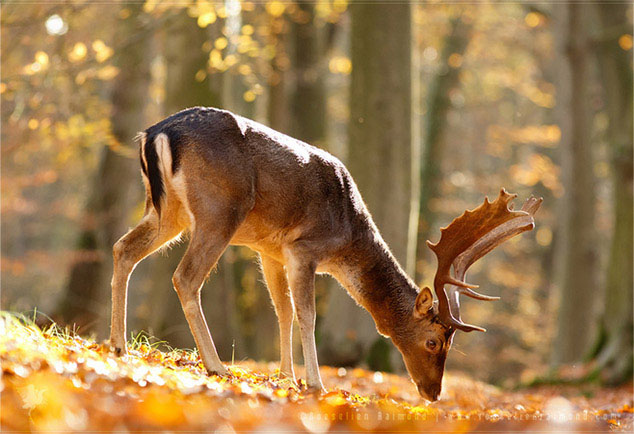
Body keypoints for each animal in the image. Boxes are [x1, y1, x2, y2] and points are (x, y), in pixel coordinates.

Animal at [107, 107, 540, 402]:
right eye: (434, 341)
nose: (433, 393)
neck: (348, 236)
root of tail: (156, 132)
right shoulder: (304, 248)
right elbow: (307, 314)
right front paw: (315, 382)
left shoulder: (270, 249)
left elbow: (281, 311)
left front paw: (287, 377)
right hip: (219, 210)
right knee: (185, 277)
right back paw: (215, 365)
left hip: (167, 211)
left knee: (122, 248)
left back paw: (117, 345)